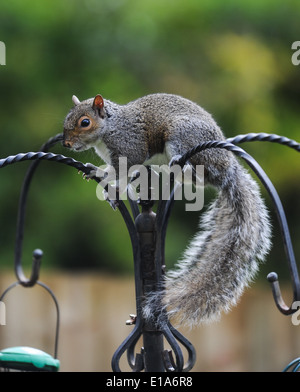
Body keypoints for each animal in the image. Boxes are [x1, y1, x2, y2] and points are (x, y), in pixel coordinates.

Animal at [63, 93, 272, 326]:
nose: (67, 143)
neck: (110, 128)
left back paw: (182, 166)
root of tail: (228, 169)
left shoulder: (131, 148)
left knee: (197, 173)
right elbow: (116, 174)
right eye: (67, 119)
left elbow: (123, 172)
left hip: (181, 135)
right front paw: (103, 181)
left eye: (85, 122)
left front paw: (109, 183)